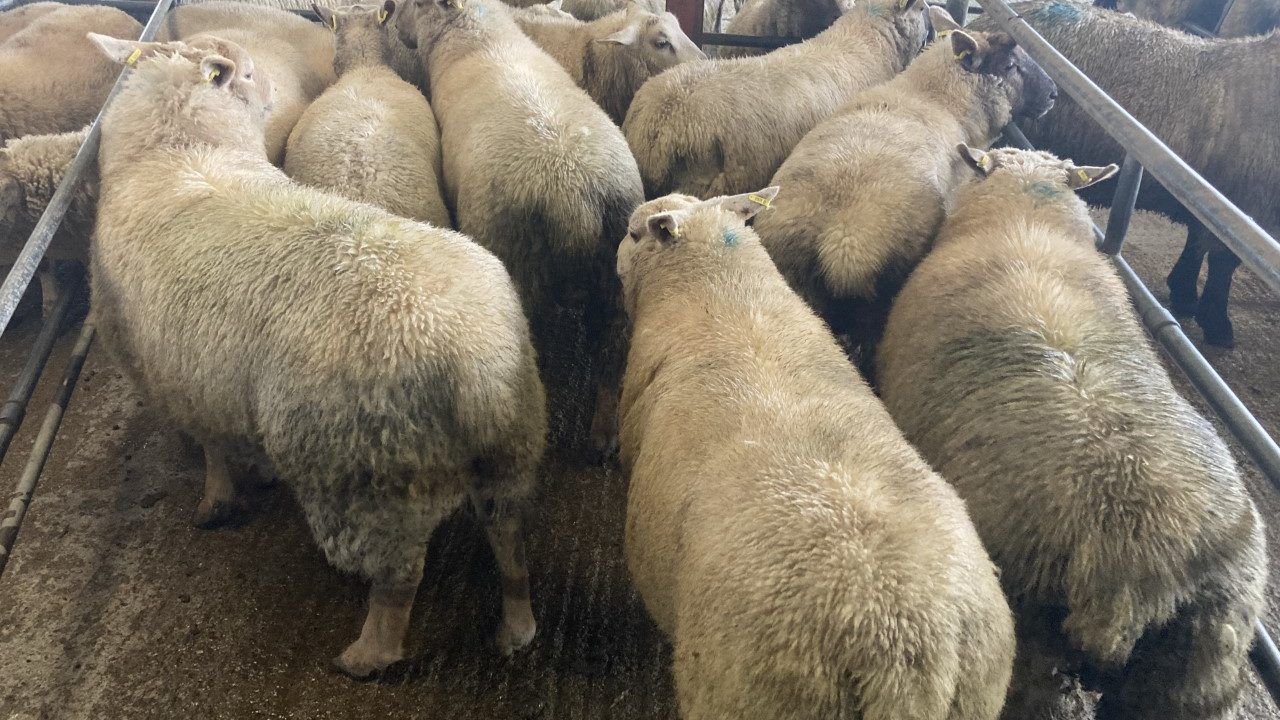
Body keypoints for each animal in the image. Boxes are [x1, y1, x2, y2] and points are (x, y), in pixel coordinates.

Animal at [86, 32, 547, 679]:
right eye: (247, 72)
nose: (276, 93)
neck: (177, 152)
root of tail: (472, 359)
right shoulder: (197, 376)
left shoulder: (178, 378)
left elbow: (212, 449)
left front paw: (215, 501)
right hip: (510, 446)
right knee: (509, 537)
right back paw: (517, 624)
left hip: (367, 475)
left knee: (400, 576)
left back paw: (367, 654)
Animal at [398, 0, 643, 456]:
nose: (394, 23)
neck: (477, 39)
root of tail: (573, 191)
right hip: (615, 270)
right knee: (611, 350)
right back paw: (603, 433)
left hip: (517, 259)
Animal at [616, 187, 1015, 720]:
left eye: (633, 232)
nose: (616, 256)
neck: (723, 294)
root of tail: (902, 657)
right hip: (978, 690)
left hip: (750, 693)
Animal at [973, 1, 1280, 349]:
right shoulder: (1248, 205)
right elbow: (1222, 264)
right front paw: (1217, 324)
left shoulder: (1209, 202)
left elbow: (1196, 244)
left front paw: (1185, 294)